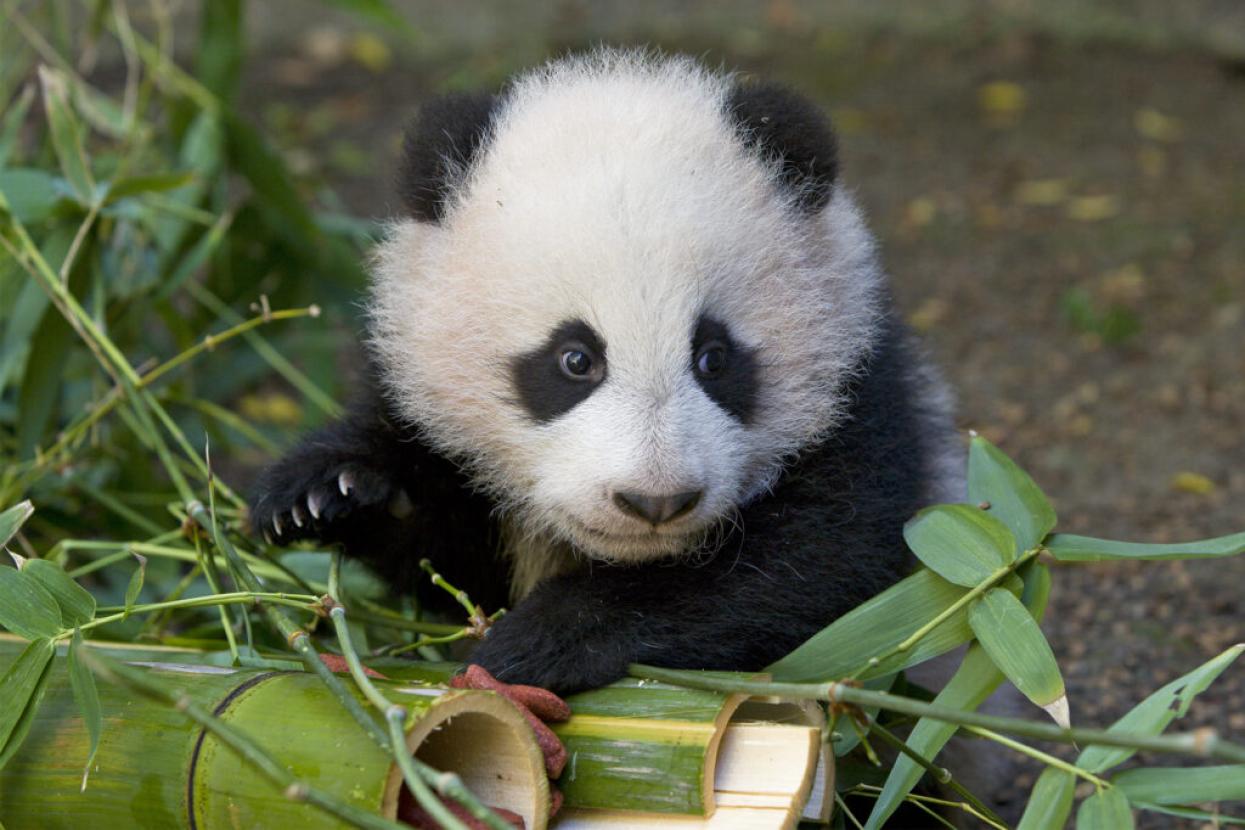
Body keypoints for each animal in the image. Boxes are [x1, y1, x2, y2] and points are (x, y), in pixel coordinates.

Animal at [250, 49, 962, 695]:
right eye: (574, 360)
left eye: (714, 357)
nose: (655, 501)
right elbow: (449, 568)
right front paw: (328, 493)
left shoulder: (863, 395)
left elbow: (819, 570)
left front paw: (547, 637)